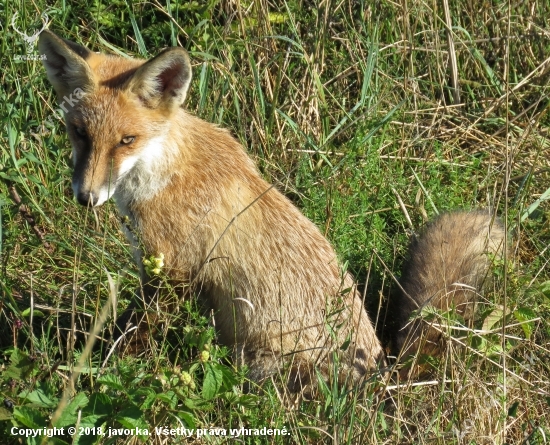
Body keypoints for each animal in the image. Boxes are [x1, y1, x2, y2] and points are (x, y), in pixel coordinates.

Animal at [40, 30, 508, 386]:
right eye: (79, 133)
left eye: (126, 140)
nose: (86, 197)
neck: (163, 170)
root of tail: (382, 373)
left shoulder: (171, 272)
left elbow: (132, 338)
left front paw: (101, 372)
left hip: (256, 362)